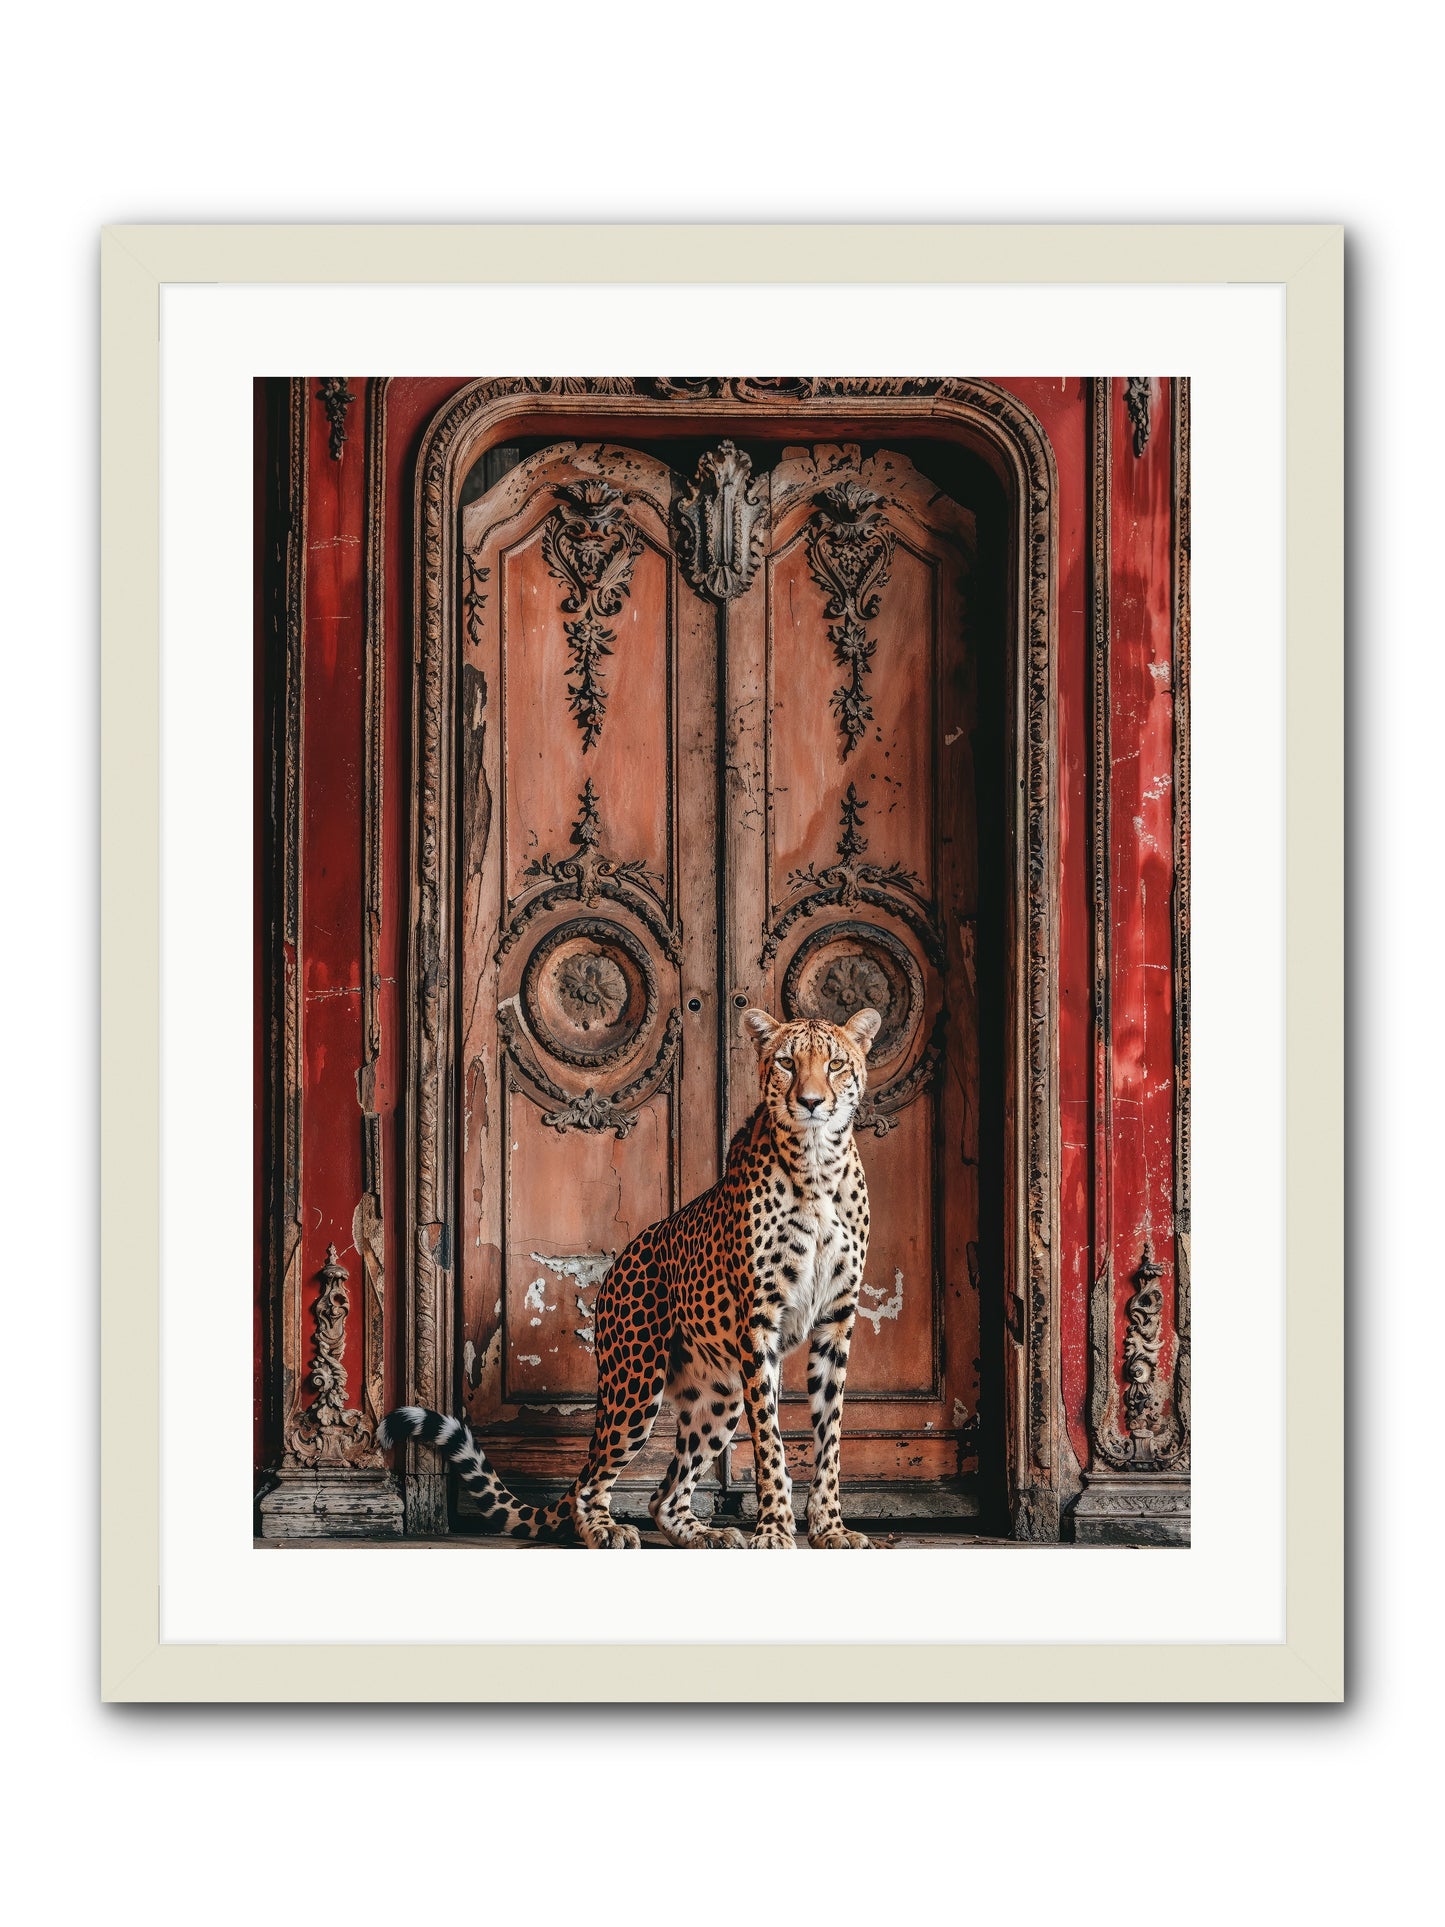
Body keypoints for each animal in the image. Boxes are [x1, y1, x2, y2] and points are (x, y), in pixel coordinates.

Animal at [380, 1002, 882, 1549]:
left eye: (835, 1064)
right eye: (788, 1063)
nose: (811, 1102)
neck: (817, 1166)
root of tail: (620, 1260)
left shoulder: (836, 1321)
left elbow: (829, 1437)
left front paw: (830, 1528)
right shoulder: (760, 1324)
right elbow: (771, 1440)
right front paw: (773, 1530)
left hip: (720, 1395)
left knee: (663, 1496)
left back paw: (706, 1534)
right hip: (636, 1383)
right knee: (592, 1482)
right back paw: (607, 1529)